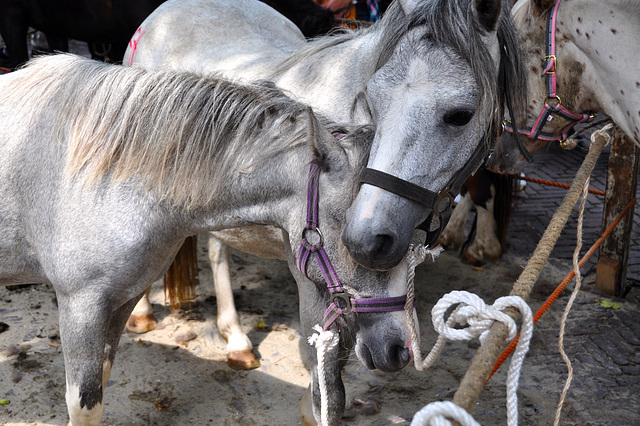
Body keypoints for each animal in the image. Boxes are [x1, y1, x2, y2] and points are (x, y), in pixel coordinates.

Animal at [0, 54, 418, 426]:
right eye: (373, 243)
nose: (399, 350)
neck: (106, 172)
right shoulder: (80, 307)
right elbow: (84, 406)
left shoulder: (120, 301)